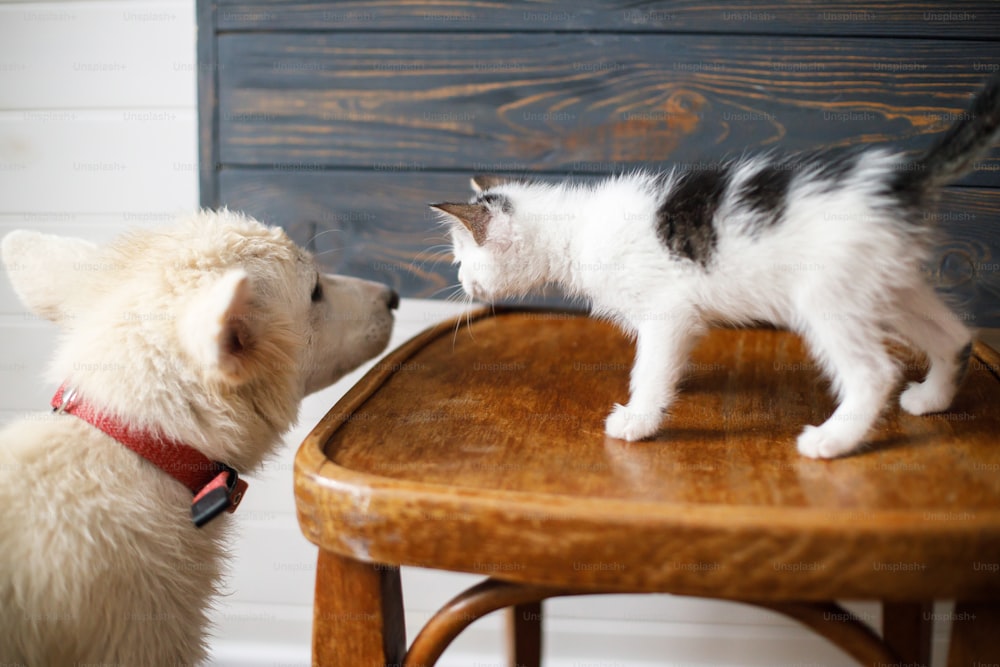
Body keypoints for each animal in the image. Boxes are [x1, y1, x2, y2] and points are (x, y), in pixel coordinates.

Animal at [436, 74, 1000, 460]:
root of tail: (901, 180)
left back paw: (833, 440)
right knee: (955, 337)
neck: (575, 229)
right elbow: (667, 360)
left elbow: (649, 367)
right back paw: (933, 398)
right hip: (888, 282)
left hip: (828, 294)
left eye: (461, 259)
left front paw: (638, 419)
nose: (461, 281)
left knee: (874, 372)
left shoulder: (666, 309)